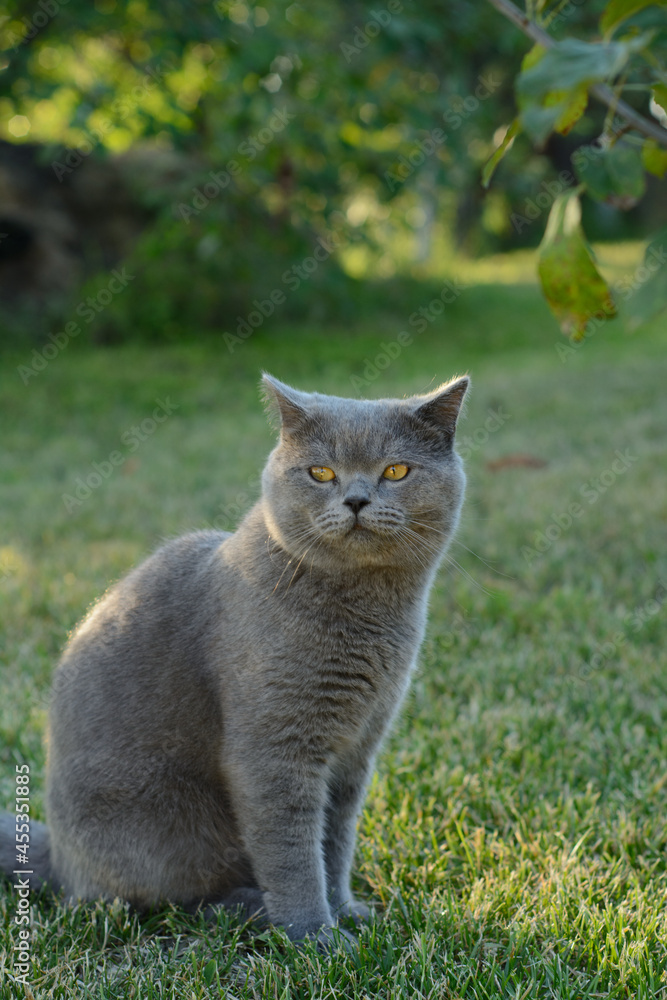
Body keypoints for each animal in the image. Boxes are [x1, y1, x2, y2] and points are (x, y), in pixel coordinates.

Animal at [1, 372, 470, 948]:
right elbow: (293, 853)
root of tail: (55, 858)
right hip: (169, 829)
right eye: (321, 472)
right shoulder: (273, 751)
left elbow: (334, 842)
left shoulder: (357, 749)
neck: (370, 618)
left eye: (396, 470)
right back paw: (250, 910)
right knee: (159, 903)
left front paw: (346, 911)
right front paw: (315, 937)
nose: (357, 499)